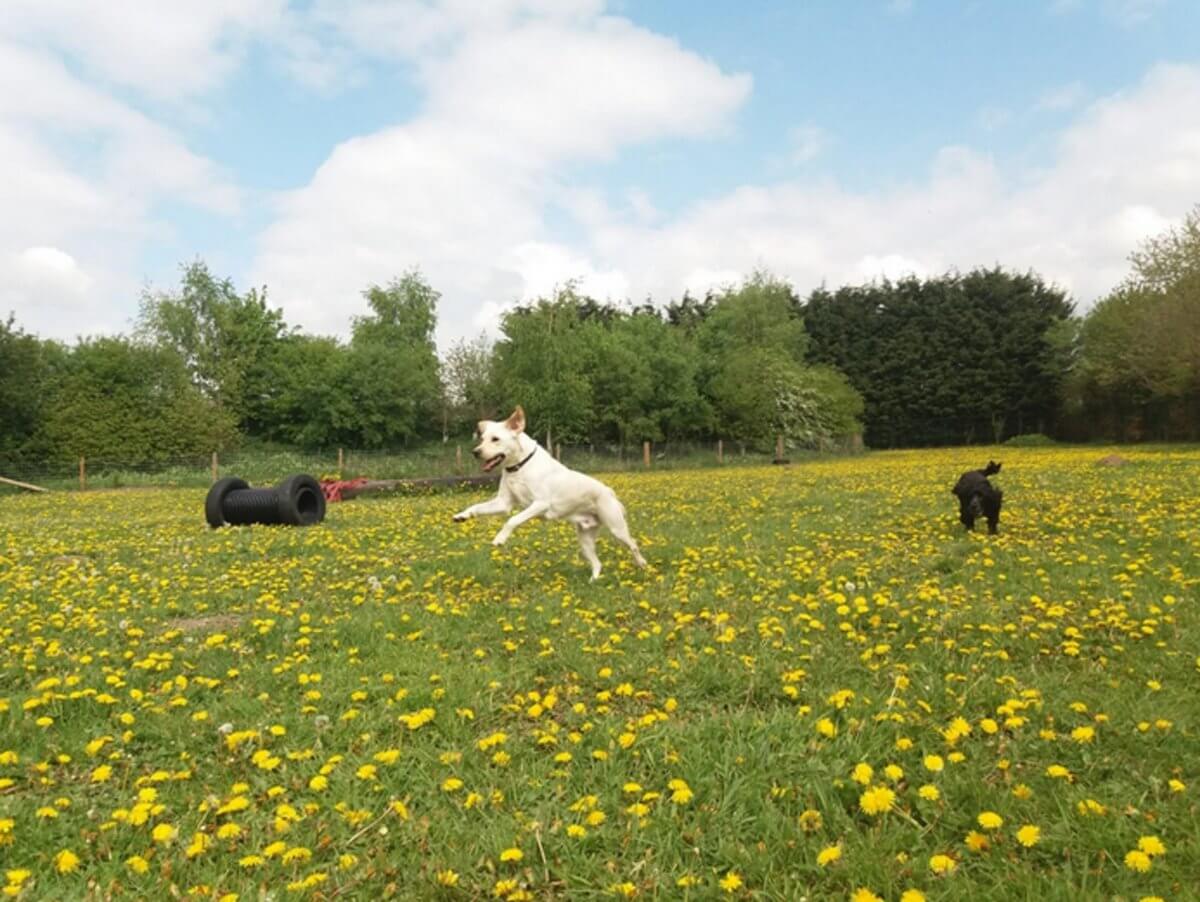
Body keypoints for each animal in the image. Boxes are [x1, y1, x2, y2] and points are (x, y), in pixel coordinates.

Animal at [453, 407, 652, 580]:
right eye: (482, 438)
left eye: (495, 439)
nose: (475, 452)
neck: (520, 467)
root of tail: (610, 492)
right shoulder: (503, 503)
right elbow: (477, 507)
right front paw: (462, 516)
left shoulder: (540, 504)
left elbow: (512, 520)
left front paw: (500, 539)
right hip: (585, 541)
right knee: (597, 564)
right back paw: (593, 581)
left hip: (617, 529)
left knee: (634, 544)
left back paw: (642, 564)